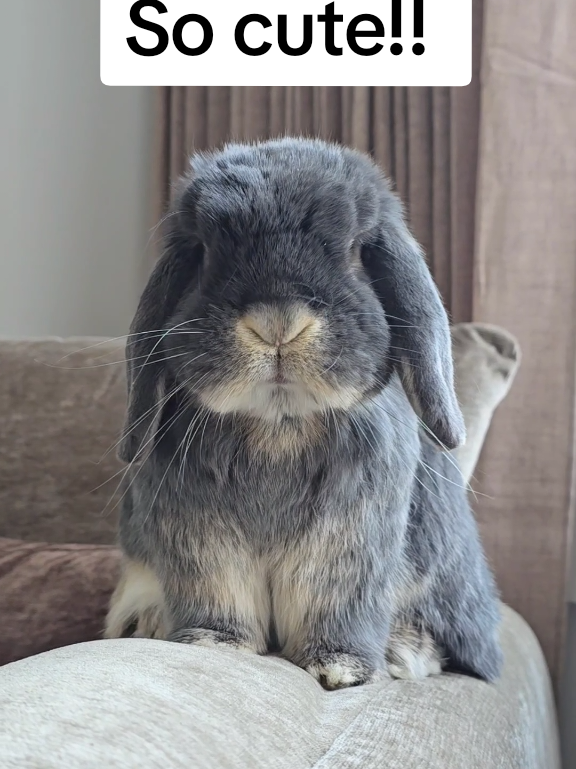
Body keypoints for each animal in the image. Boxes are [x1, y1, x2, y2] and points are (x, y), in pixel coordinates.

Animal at [104, 137, 503, 689]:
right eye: (204, 253)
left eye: (356, 250)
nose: (278, 324)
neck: (279, 425)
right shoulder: (202, 544)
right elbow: (217, 596)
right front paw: (212, 644)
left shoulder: (348, 545)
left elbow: (334, 604)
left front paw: (339, 668)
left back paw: (402, 653)